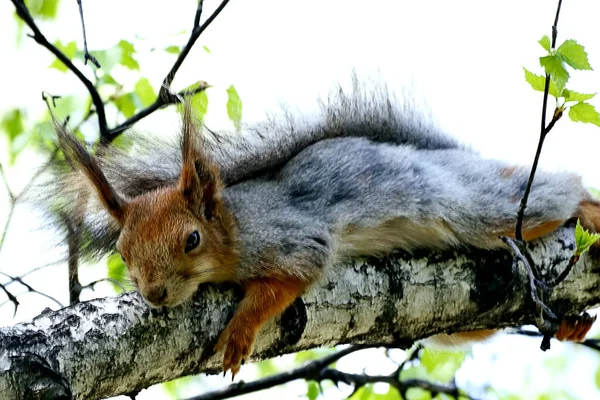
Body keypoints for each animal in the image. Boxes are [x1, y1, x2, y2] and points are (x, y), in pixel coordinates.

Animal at [45, 82, 600, 376]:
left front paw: (240, 332)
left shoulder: (296, 238)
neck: (237, 227)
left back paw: (589, 211)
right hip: (451, 318)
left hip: (481, 207)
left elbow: (286, 281)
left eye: (192, 240)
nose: (155, 295)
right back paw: (570, 324)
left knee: (558, 191)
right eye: (123, 252)